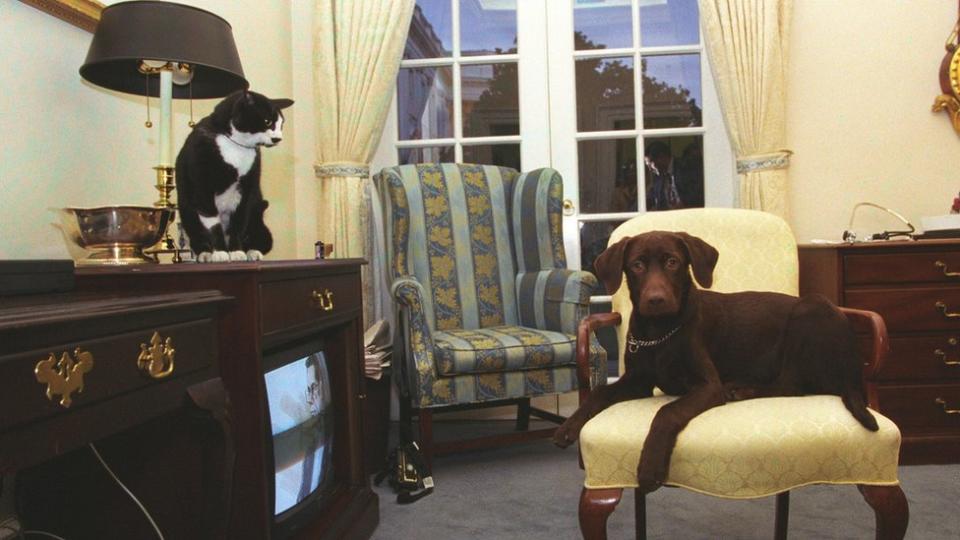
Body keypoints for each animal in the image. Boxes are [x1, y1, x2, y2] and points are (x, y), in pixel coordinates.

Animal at [174, 89, 290, 262]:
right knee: (197, 235)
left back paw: (252, 252)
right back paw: (206, 254)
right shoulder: (202, 188)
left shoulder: (247, 189)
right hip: (187, 212)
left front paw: (236, 252)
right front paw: (220, 252)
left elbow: (237, 223)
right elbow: (213, 225)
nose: (278, 138)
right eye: (267, 121)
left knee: (260, 238)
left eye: (281, 125)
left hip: (257, 217)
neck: (236, 148)